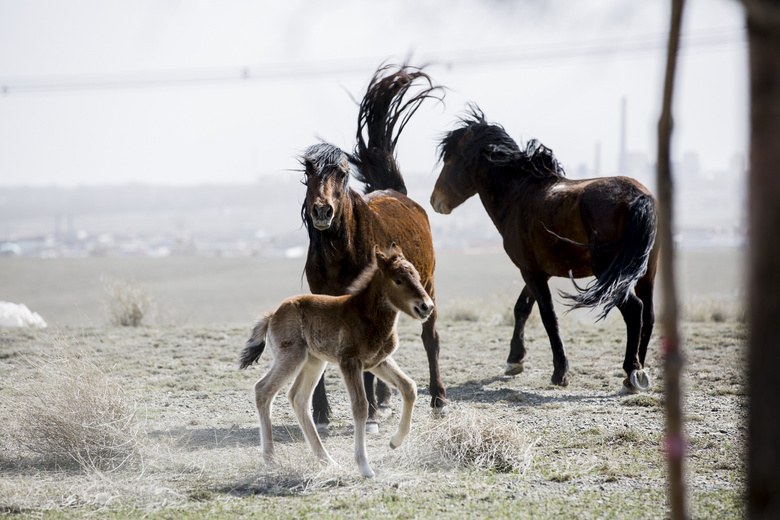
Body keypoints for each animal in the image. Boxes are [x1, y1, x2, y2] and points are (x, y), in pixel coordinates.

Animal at [239, 244, 432, 478]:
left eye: (418, 276)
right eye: (398, 280)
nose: (426, 306)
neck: (366, 315)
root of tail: (272, 315)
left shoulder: (378, 362)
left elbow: (409, 387)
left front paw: (395, 441)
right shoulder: (350, 362)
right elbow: (360, 406)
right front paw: (364, 467)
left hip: (313, 362)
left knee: (298, 398)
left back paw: (327, 461)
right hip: (291, 357)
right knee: (263, 390)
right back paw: (270, 460)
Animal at [301, 64, 446, 428]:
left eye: (341, 173)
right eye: (307, 172)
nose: (321, 211)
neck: (342, 253)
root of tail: (398, 193)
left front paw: (367, 416)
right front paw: (321, 412)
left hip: (428, 286)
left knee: (431, 339)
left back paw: (437, 399)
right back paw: (383, 398)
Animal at [430, 106, 659, 394]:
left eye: (449, 160)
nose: (434, 200)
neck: (519, 194)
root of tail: (639, 197)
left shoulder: (531, 272)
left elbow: (547, 316)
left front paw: (559, 372)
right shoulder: (538, 271)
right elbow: (522, 308)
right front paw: (514, 360)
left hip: (612, 273)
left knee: (634, 311)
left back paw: (631, 371)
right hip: (645, 274)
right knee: (648, 315)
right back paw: (637, 371)